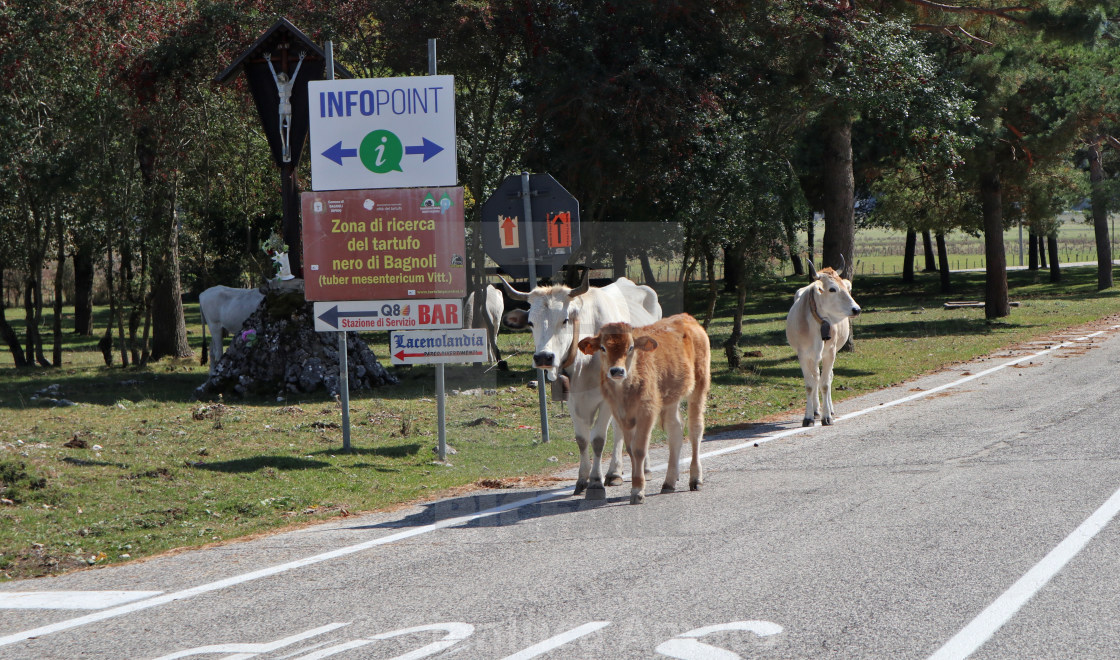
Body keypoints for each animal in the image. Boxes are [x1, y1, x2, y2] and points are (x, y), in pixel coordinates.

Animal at [501, 270, 663, 497]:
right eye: (531, 323)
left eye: (565, 320)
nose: (544, 357)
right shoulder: (573, 399)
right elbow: (582, 439)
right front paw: (582, 480)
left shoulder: (606, 399)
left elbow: (598, 439)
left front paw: (595, 481)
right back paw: (616, 472)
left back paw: (632, 470)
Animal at [577, 311, 707, 502]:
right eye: (603, 348)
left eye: (631, 347)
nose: (617, 371)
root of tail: (686, 317)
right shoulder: (620, 414)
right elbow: (630, 449)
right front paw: (636, 485)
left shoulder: (647, 411)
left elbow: (639, 449)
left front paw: (638, 491)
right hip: (671, 399)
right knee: (675, 429)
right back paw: (669, 483)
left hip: (699, 387)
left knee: (695, 429)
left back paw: (696, 479)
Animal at [784, 257, 860, 428]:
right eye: (832, 289)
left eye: (845, 286)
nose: (856, 309)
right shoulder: (803, 355)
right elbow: (810, 385)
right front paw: (808, 417)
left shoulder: (830, 354)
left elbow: (825, 384)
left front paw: (827, 417)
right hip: (813, 357)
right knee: (816, 378)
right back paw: (815, 410)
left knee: (827, 378)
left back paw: (829, 410)